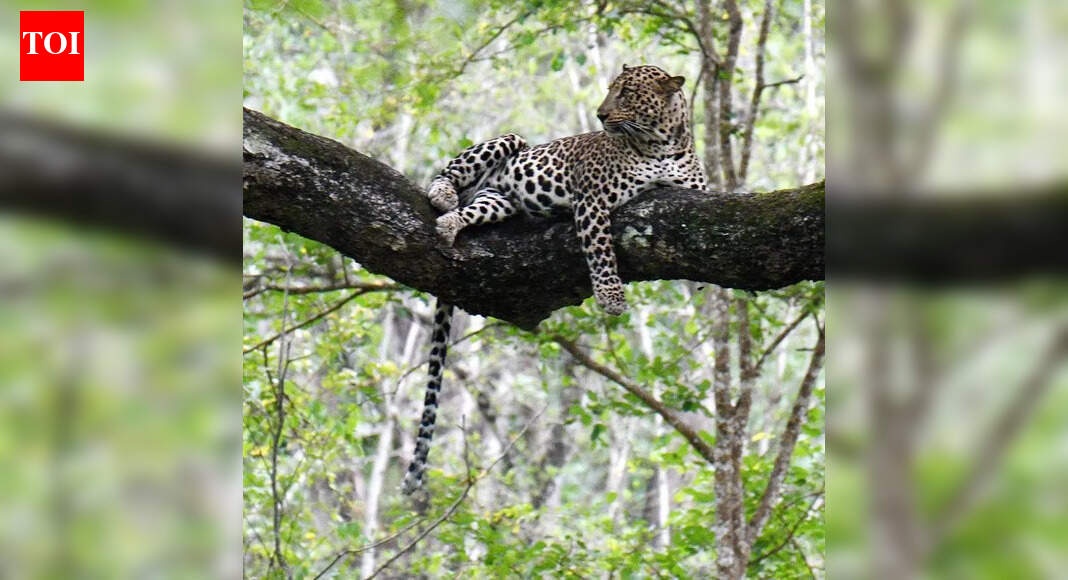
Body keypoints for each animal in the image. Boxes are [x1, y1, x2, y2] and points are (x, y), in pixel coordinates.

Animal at [401, 64, 707, 495]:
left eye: (627, 93)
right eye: (611, 90)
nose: (599, 115)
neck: (662, 143)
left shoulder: (697, 194)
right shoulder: (592, 198)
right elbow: (600, 251)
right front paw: (611, 298)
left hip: (498, 201)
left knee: (470, 211)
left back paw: (450, 224)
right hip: (508, 141)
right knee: (447, 172)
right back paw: (443, 197)